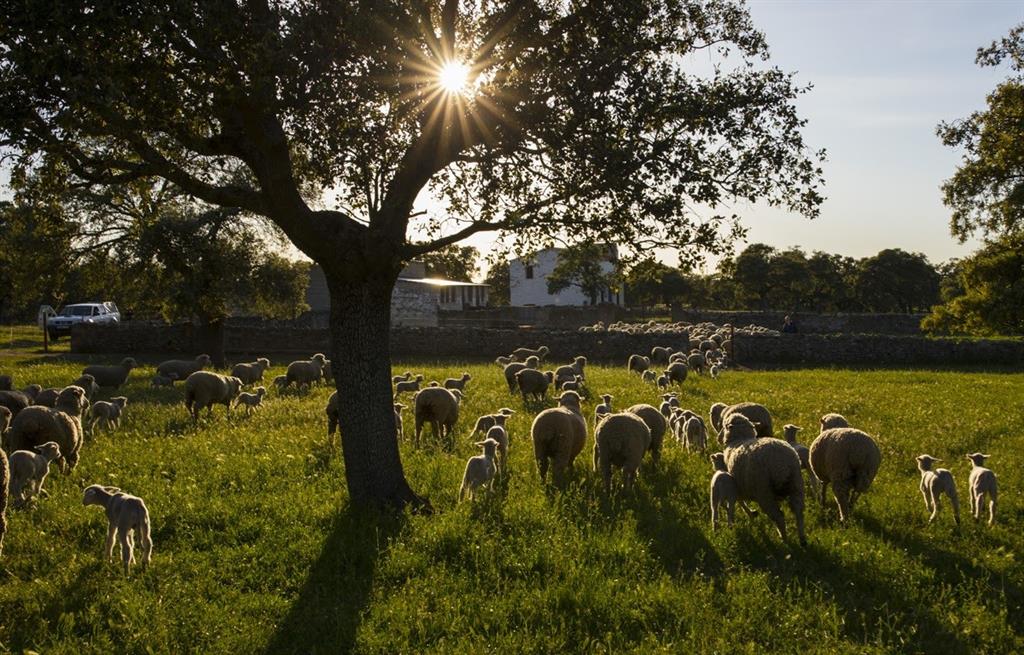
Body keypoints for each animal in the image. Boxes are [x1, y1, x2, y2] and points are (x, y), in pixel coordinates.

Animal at [720, 413, 806, 548]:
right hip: (796, 484)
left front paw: (750, 513)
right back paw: (802, 539)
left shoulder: (737, 483)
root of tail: (781, 464)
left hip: (764, 493)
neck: (740, 439)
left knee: (779, 517)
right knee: (798, 511)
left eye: (724, 426)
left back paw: (784, 540)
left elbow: (739, 501)